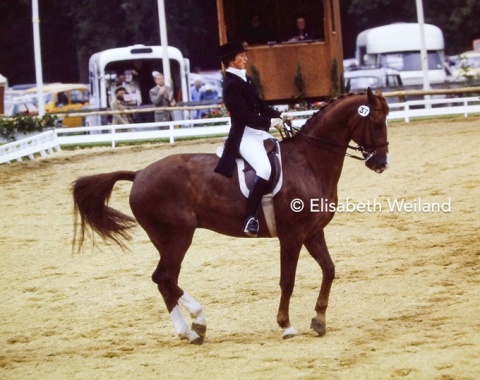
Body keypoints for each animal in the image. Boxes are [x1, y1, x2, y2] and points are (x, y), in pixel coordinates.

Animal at [72, 88, 390, 344]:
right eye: (376, 122)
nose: (381, 163)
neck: (308, 162)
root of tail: (139, 174)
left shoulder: (312, 232)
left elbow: (329, 269)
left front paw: (319, 320)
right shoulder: (291, 236)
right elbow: (287, 280)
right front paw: (286, 326)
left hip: (168, 240)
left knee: (165, 281)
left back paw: (191, 330)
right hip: (177, 237)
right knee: (164, 277)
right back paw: (195, 324)